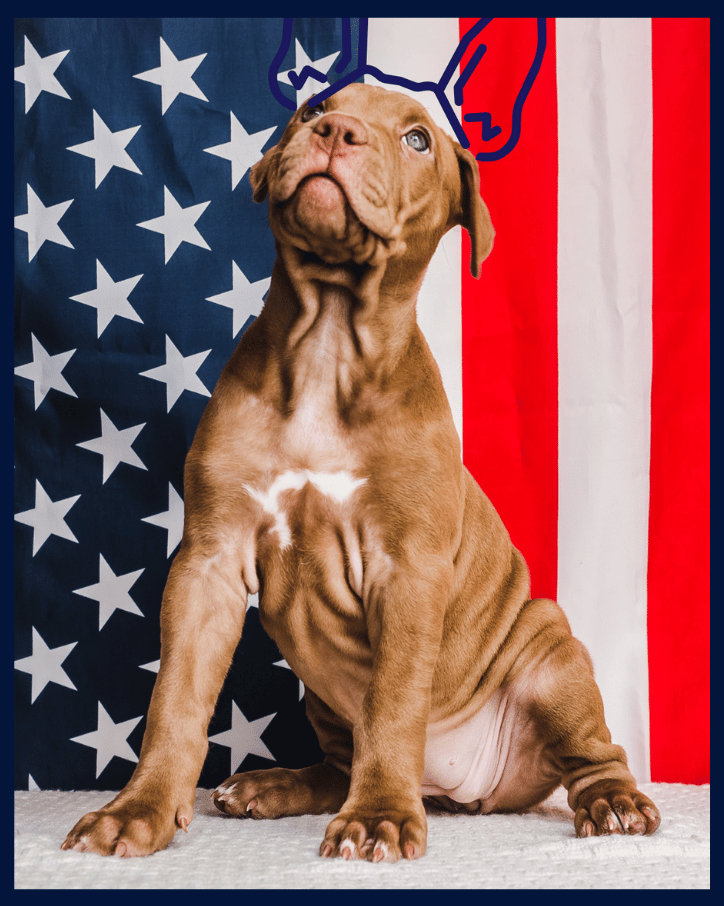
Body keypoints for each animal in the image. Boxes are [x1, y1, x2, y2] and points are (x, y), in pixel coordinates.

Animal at [63, 81, 660, 860]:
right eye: (315, 106)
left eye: (417, 140)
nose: (336, 131)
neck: (327, 342)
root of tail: (460, 790)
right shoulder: (208, 564)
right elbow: (176, 700)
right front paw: (138, 810)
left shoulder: (408, 570)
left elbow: (395, 702)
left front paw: (377, 817)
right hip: (320, 692)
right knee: (339, 759)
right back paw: (272, 786)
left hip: (552, 653)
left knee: (593, 753)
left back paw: (613, 803)